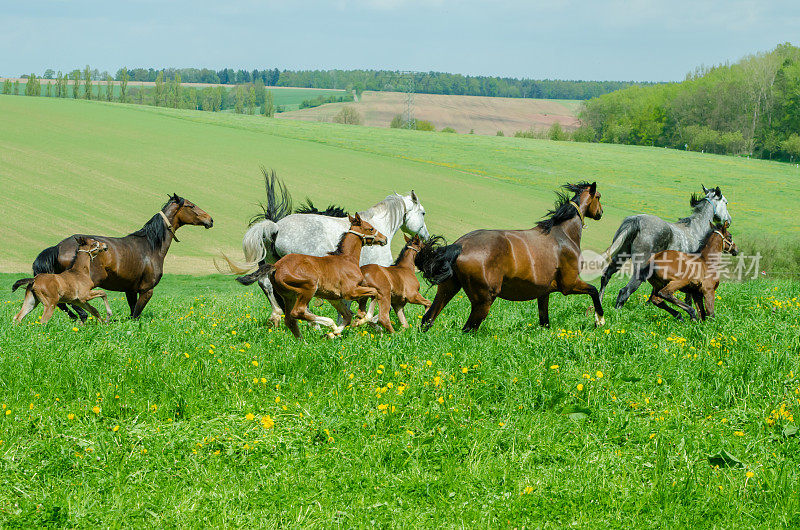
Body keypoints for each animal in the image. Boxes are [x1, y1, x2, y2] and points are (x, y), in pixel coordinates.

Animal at [28, 194, 212, 318]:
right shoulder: (147, 290)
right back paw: (83, 316)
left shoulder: (130, 290)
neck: (151, 246)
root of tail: (58, 247)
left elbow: (132, 313)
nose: (210, 219)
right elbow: (136, 315)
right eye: (191, 205)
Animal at [234, 211, 388, 338]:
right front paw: (362, 321)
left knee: (290, 319)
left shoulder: (334, 298)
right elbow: (374, 292)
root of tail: (276, 266)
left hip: (288, 296)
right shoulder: (351, 292)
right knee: (298, 312)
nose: (384, 238)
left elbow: (348, 315)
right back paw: (328, 324)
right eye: (371, 228)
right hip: (308, 288)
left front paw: (335, 333)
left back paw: (303, 342)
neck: (346, 259)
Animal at [416, 182, 604, 330]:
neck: (562, 234)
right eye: (599, 197)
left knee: (428, 319)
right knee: (468, 329)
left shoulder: (544, 292)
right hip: (483, 301)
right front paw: (599, 320)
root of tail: (460, 245)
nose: (601, 213)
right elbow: (594, 291)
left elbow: (544, 321)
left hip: (448, 288)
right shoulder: (569, 285)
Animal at [600, 186, 732, 310]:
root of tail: (636, 221)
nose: (729, 220)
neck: (696, 228)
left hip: (620, 256)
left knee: (606, 276)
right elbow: (688, 296)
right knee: (625, 290)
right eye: (725, 202)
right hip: (641, 267)